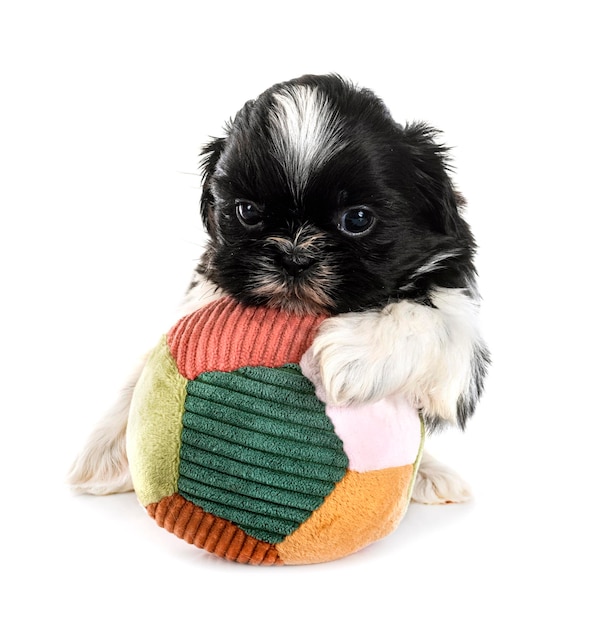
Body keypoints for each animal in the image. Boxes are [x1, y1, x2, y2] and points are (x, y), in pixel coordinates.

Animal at [68, 73, 490, 502]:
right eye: (248, 212)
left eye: (357, 219)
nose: (293, 256)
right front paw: (109, 448)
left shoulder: (459, 328)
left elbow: (430, 319)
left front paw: (353, 355)